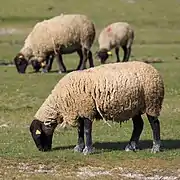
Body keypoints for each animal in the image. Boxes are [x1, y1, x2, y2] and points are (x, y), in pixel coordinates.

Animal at [29, 60, 165, 155]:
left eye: (37, 134)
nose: (42, 150)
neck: (60, 101)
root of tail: (154, 71)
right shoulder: (79, 111)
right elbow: (79, 131)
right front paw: (79, 148)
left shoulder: (87, 109)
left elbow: (86, 131)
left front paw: (87, 150)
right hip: (134, 107)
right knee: (138, 125)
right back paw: (130, 146)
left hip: (152, 103)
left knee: (155, 124)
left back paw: (155, 148)